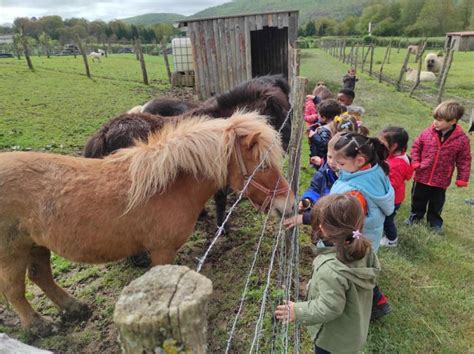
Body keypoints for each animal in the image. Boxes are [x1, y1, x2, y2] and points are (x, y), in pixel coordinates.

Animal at [0, 112, 296, 336]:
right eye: (263, 166)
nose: (290, 205)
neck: (168, 186)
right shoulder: (162, 251)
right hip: (12, 251)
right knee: (15, 290)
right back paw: (38, 326)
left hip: (36, 244)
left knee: (41, 277)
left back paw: (74, 308)